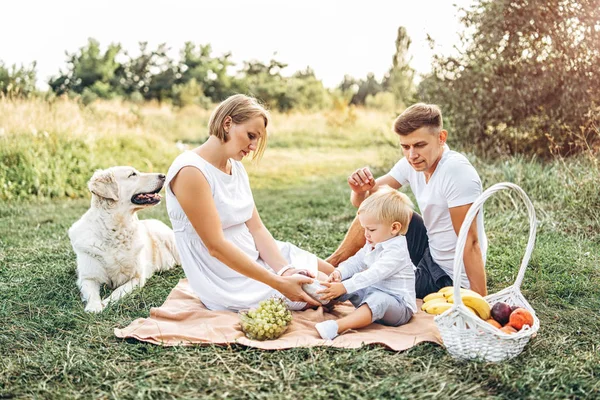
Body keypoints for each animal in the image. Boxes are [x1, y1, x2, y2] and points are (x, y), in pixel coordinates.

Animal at [69, 166, 179, 312]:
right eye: (132, 174)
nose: (164, 175)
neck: (115, 231)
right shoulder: (87, 277)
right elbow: (92, 293)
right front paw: (94, 307)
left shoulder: (136, 278)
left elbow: (118, 291)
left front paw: (105, 303)